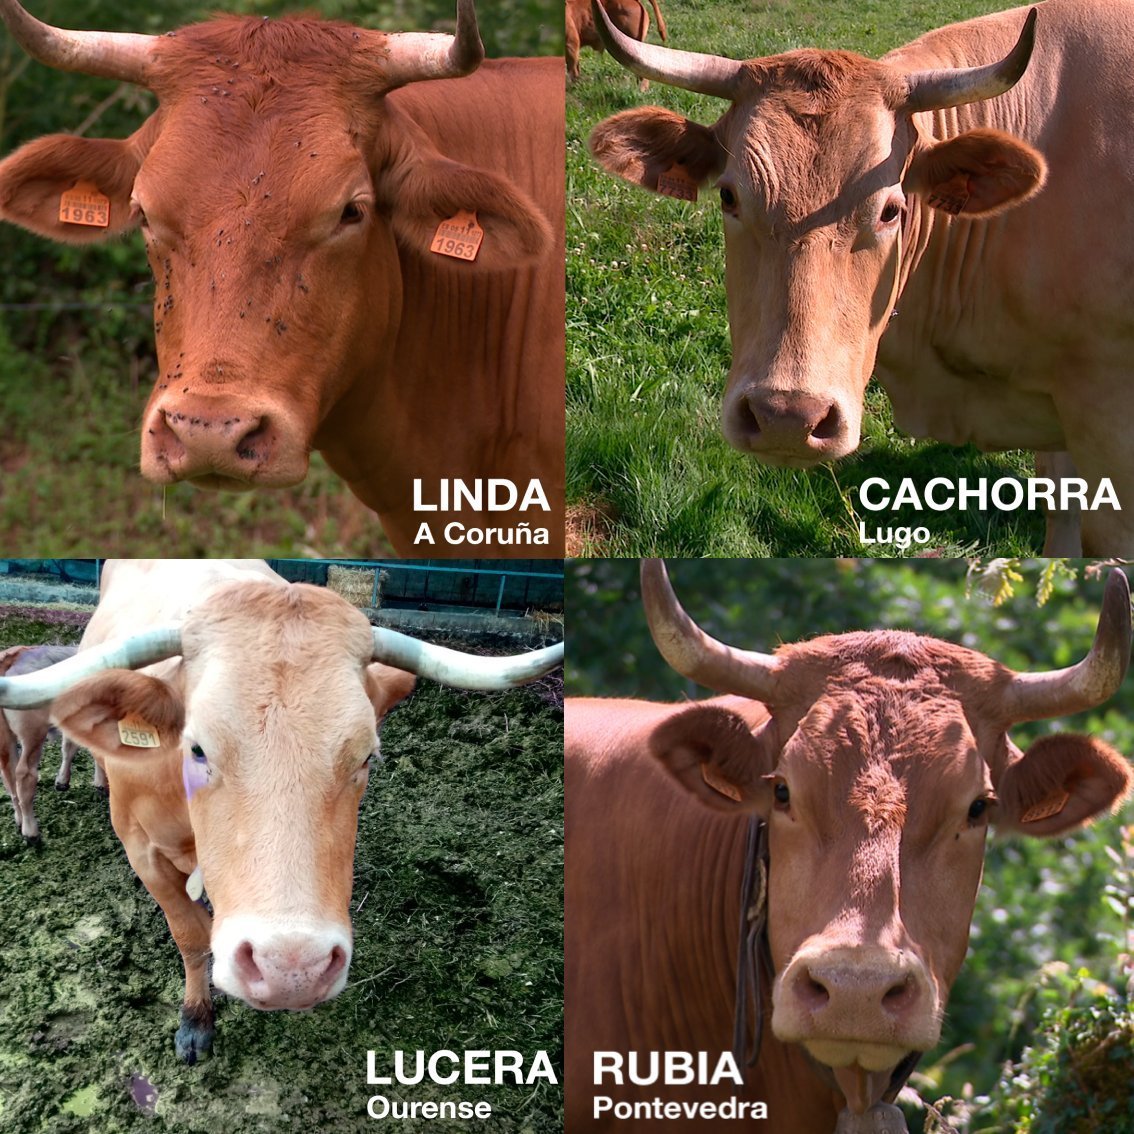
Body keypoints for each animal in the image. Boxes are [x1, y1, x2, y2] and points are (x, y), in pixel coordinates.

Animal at [0, 644, 93, 842]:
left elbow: (68, 748)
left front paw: (62, 782)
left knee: (8, 772)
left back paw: (19, 820)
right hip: (33, 732)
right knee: (24, 774)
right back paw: (31, 832)